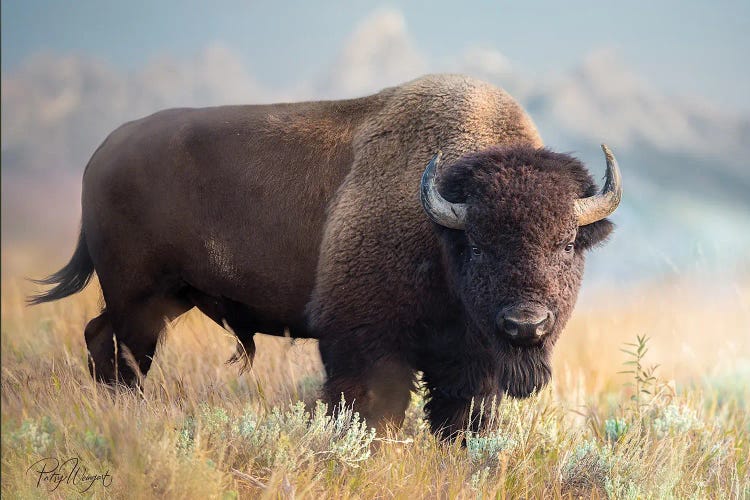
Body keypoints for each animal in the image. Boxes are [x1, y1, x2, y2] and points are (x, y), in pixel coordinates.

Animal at [30, 74, 624, 438]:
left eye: (567, 243)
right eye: (476, 245)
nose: (526, 324)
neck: (438, 228)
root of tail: (102, 154)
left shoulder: (469, 364)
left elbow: (460, 421)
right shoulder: (363, 343)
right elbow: (370, 410)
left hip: (164, 299)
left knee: (99, 337)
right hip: (138, 298)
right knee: (122, 354)